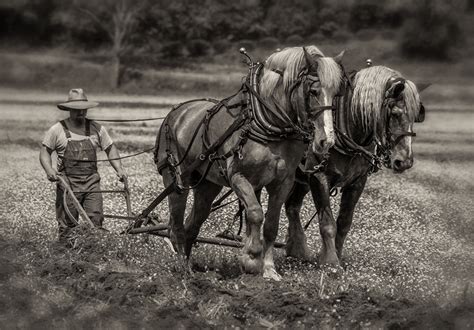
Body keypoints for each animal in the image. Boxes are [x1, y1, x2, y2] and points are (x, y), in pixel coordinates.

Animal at [156, 45, 344, 278]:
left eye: (336, 94)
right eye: (313, 91)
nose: (326, 141)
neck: (270, 125)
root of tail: (177, 112)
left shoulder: (283, 182)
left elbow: (271, 224)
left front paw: (269, 269)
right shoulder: (239, 177)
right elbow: (255, 214)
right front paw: (252, 259)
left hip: (208, 186)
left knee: (192, 224)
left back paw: (189, 264)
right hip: (176, 180)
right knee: (176, 225)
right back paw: (183, 268)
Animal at [286, 65, 426, 266]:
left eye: (415, 117)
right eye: (395, 114)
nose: (404, 161)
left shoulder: (358, 181)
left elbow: (344, 223)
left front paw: (337, 256)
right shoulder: (318, 177)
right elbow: (327, 223)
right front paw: (330, 262)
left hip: (302, 179)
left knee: (292, 206)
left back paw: (297, 249)